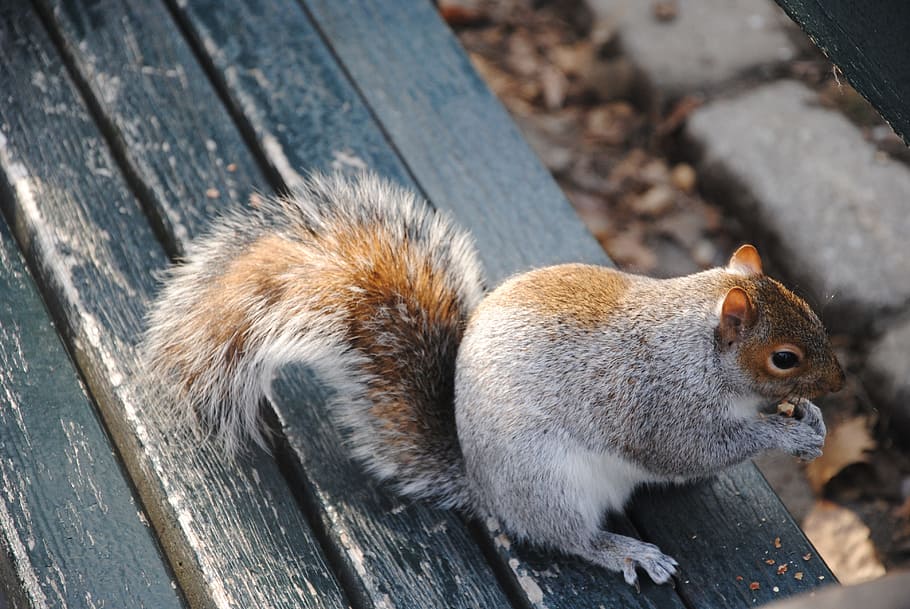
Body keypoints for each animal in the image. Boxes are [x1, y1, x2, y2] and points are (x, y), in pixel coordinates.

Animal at [143, 172, 845, 587]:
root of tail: (483, 486)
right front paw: (786, 437)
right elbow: (688, 449)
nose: (838, 381)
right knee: (567, 536)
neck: (696, 351)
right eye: (784, 357)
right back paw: (622, 549)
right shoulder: (654, 400)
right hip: (549, 481)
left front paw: (808, 422)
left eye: (812, 310)